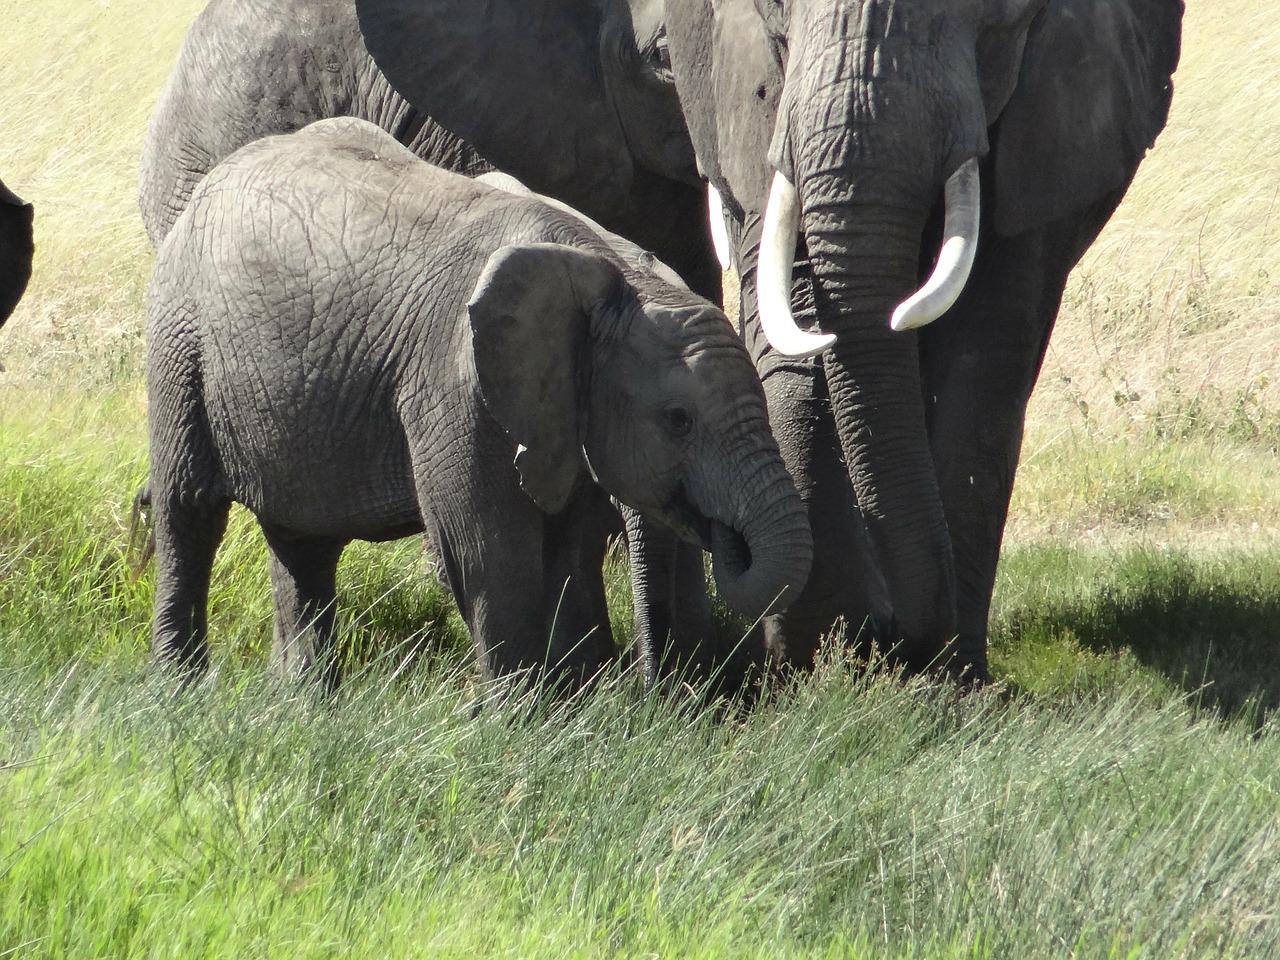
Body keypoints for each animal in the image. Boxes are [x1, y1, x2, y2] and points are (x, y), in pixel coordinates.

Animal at [147, 118, 808, 691]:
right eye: (678, 421)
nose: (726, 534)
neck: (609, 272)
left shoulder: (558, 409)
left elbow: (570, 555)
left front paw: (578, 714)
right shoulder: (453, 383)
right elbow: (487, 554)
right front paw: (519, 721)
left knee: (303, 541)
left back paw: (304, 703)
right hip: (179, 340)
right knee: (189, 514)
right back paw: (180, 693)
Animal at [640, 0, 1187, 680]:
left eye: (994, 18)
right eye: (777, 19)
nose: (888, 633)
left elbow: (985, 351)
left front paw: (947, 680)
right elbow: (785, 298)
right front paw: (821, 666)